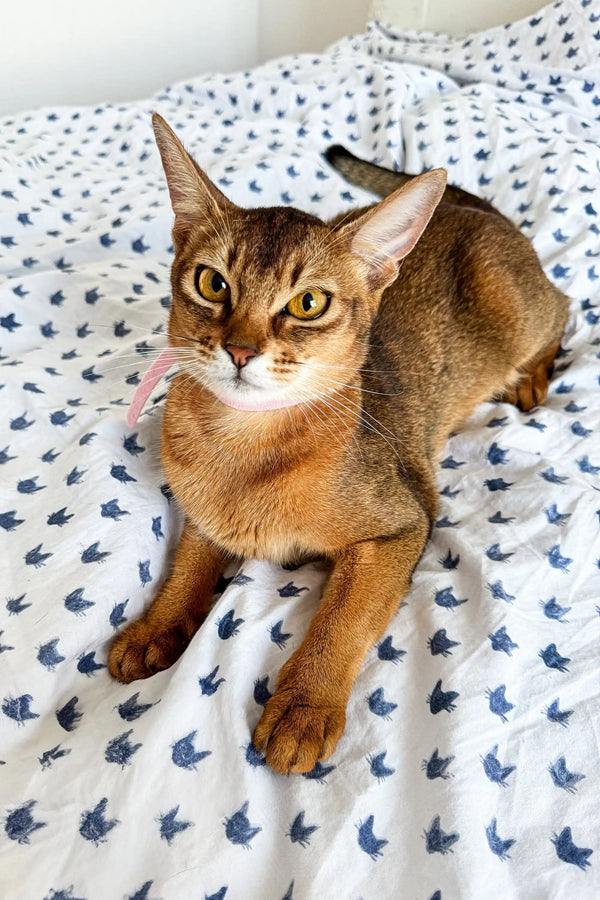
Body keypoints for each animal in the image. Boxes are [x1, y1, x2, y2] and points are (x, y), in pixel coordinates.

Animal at [105, 112, 568, 772]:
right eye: (212, 283)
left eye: (308, 303)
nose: (240, 350)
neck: (243, 446)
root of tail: (470, 207)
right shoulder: (204, 514)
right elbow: (186, 566)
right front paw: (154, 628)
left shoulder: (402, 524)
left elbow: (342, 616)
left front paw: (304, 705)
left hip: (523, 315)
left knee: (566, 307)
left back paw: (531, 377)